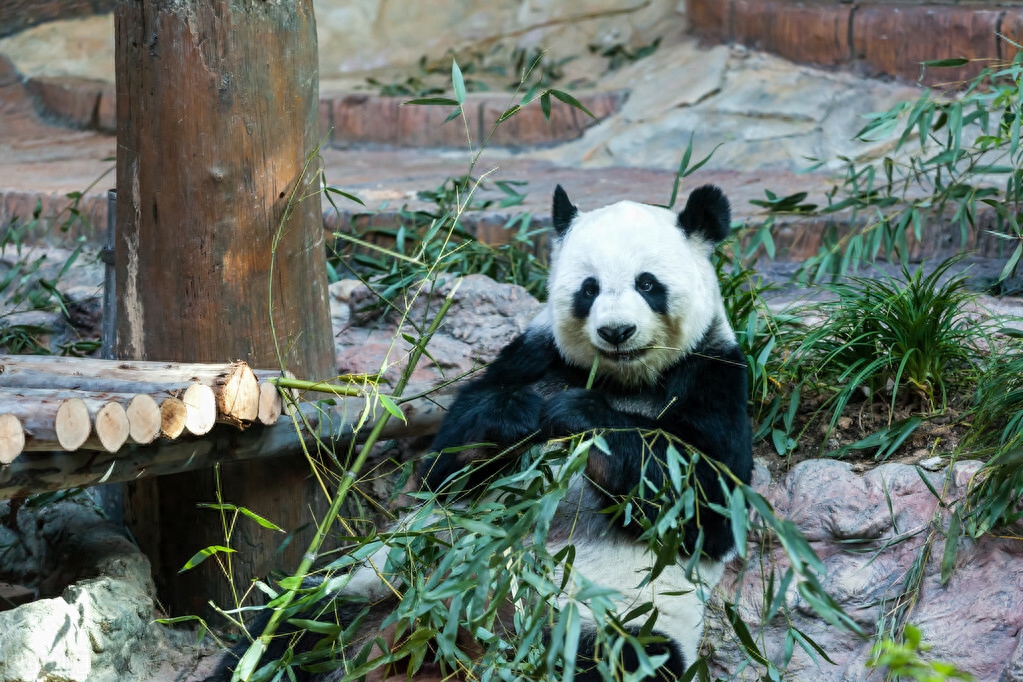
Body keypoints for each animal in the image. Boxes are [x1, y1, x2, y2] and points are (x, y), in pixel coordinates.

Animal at [209, 184, 752, 678]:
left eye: (647, 284)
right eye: (589, 288)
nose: (616, 332)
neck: (619, 378)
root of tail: (457, 635)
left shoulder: (713, 377)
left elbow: (705, 501)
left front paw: (580, 415)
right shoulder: (533, 354)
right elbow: (444, 467)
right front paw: (518, 416)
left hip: (609, 618)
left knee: (622, 659)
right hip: (376, 583)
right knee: (293, 631)